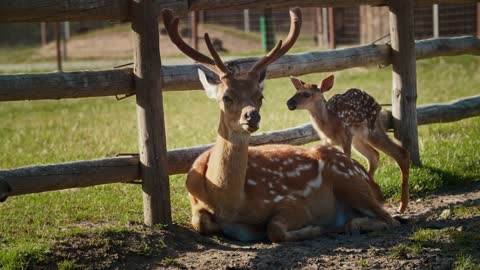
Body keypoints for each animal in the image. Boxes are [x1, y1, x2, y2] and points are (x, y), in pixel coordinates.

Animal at [286, 75, 410, 213]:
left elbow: (347, 160)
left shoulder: (346, 136)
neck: (330, 124)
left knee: (400, 152)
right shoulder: (328, 141)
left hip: (371, 130)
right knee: (374, 155)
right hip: (358, 139)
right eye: (296, 91)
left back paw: (401, 206)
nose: (289, 103)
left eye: (306, 94)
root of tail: (378, 104)